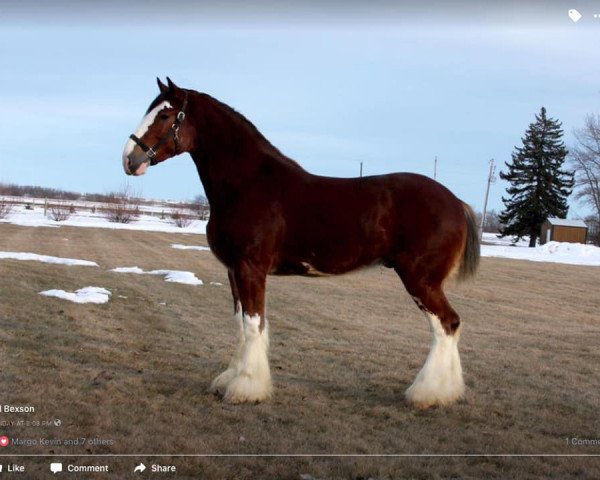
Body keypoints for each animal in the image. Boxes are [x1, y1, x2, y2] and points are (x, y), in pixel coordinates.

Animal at [120, 77, 478, 406]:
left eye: (165, 115)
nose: (129, 159)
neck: (249, 184)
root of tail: (457, 202)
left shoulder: (251, 268)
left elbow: (253, 324)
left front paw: (246, 388)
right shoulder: (233, 270)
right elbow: (240, 324)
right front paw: (229, 379)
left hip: (421, 280)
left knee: (446, 325)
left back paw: (427, 394)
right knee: (450, 326)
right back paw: (446, 392)